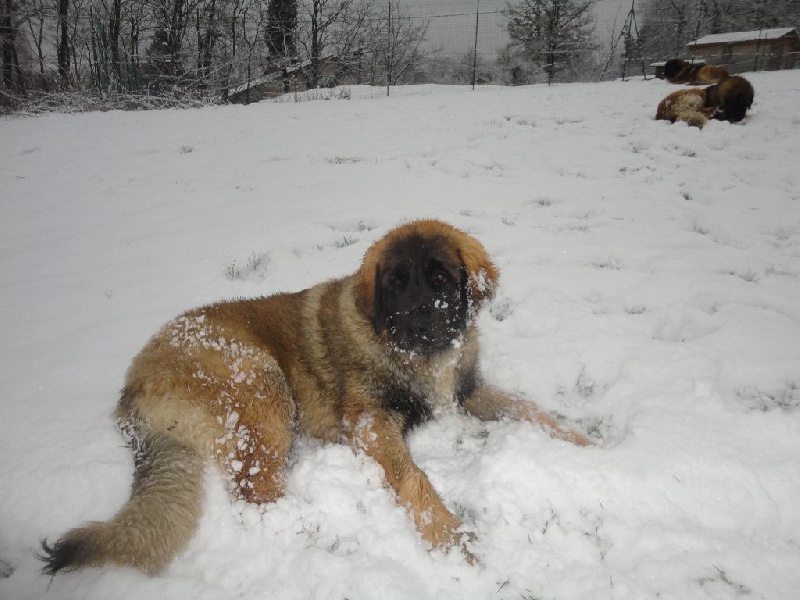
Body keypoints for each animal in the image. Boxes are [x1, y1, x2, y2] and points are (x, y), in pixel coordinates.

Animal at [42, 218, 592, 576]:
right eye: (396, 284)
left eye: (439, 277)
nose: (416, 322)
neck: (416, 358)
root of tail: (132, 385)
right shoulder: (371, 423)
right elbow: (414, 478)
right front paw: (450, 536)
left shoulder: (468, 394)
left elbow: (530, 410)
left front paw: (590, 450)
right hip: (261, 383)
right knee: (256, 493)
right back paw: (310, 527)